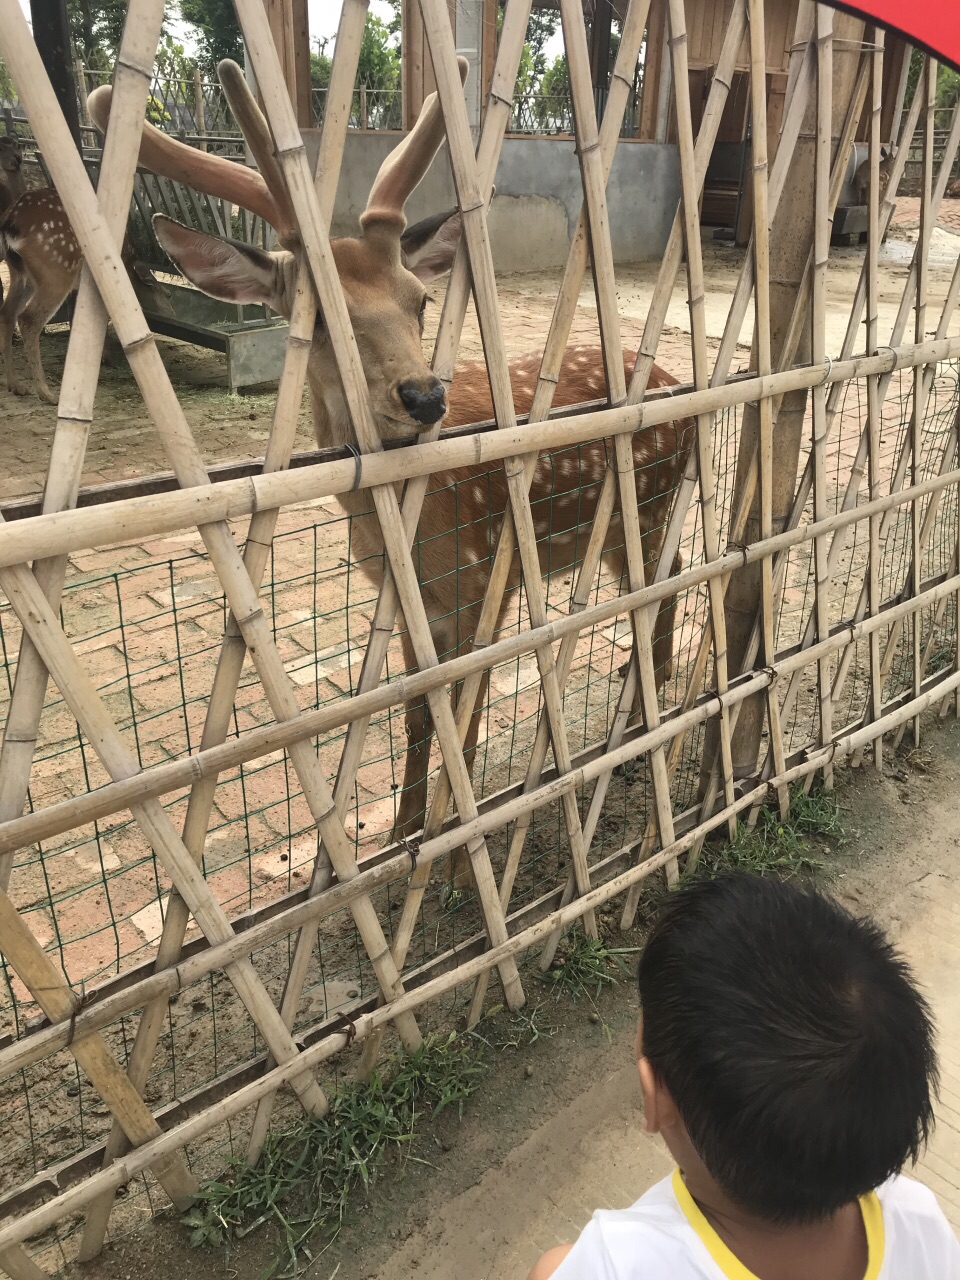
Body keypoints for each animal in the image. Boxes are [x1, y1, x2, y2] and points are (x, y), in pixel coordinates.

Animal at [90, 60, 696, 880]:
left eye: (421, 300)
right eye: (320, 319)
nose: (424, 395)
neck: (405, 527)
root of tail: (674, 378)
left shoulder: (484, 576)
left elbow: (464, 705)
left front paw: (456, 850)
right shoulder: (409, 597)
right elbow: (417, 707)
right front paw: (403, 830)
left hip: (651, 500)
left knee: (666, 583)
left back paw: (640, 729)